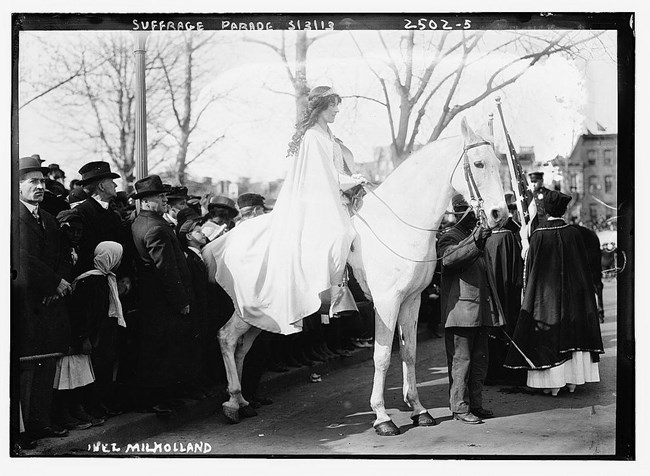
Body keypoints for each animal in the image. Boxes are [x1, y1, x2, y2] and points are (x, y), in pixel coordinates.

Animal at [205, 118, 504, 436]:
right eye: (479, 163)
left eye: (499, 162)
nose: (500, 213)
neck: (397, 226)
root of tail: (223, 242)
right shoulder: (386, 303)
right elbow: (382, 357)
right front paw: (383, 417)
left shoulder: (411, 300)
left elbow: (409, 352)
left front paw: (419, 410)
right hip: (249, 309)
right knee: (226, 338)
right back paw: (232, 403)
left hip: (262, 315)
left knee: (242, 347)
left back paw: (243, 401)